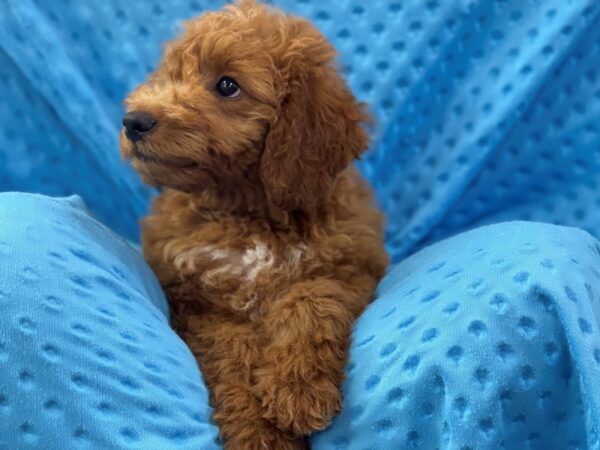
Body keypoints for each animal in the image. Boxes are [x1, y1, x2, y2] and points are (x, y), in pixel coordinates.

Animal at [122, 1, 390, 448]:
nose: (134, 121)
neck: (250, 212)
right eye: (172, 75)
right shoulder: (199, 303)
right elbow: (232, 353)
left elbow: (311, 301)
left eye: (227, 85)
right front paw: (257, 430)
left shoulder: (349, 266)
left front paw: (297, 388)